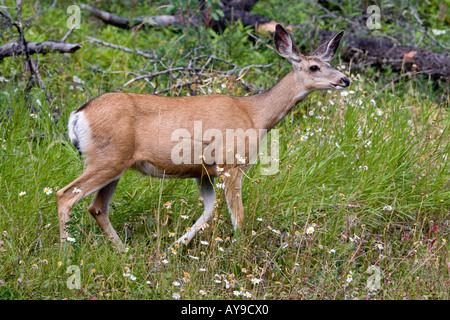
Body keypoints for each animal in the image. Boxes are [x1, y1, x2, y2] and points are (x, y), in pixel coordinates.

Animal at [57, 24, 352, 252]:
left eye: (329, 63)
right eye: (314, 67)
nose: (345, 80)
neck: (255, 115)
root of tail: (78, 115)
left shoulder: (204, 172)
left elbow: (209, 210)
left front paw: (174, 248)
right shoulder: (232, 162)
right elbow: (239, 217)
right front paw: (240, 253)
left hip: (116, 163)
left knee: (96, 207)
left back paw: (123, 251)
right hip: (108, 158)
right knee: (65, 195)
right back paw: (66, 252)